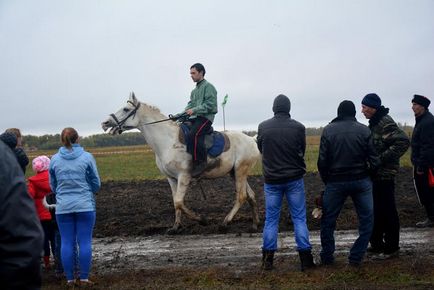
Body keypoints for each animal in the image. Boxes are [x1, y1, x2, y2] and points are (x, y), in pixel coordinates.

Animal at [100, 94, 260, 234]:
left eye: (126, 109)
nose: (104, 123)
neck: (168, 142)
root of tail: (252, 139)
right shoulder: (171, 178)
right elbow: (175, 202)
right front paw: (175, 227)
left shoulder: (184, 176)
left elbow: (178, 202)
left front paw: (202, 220)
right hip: (235, 173)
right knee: (251, 195)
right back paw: (255, 225)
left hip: (240, 171)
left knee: (241, 196)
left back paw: (225, 222)